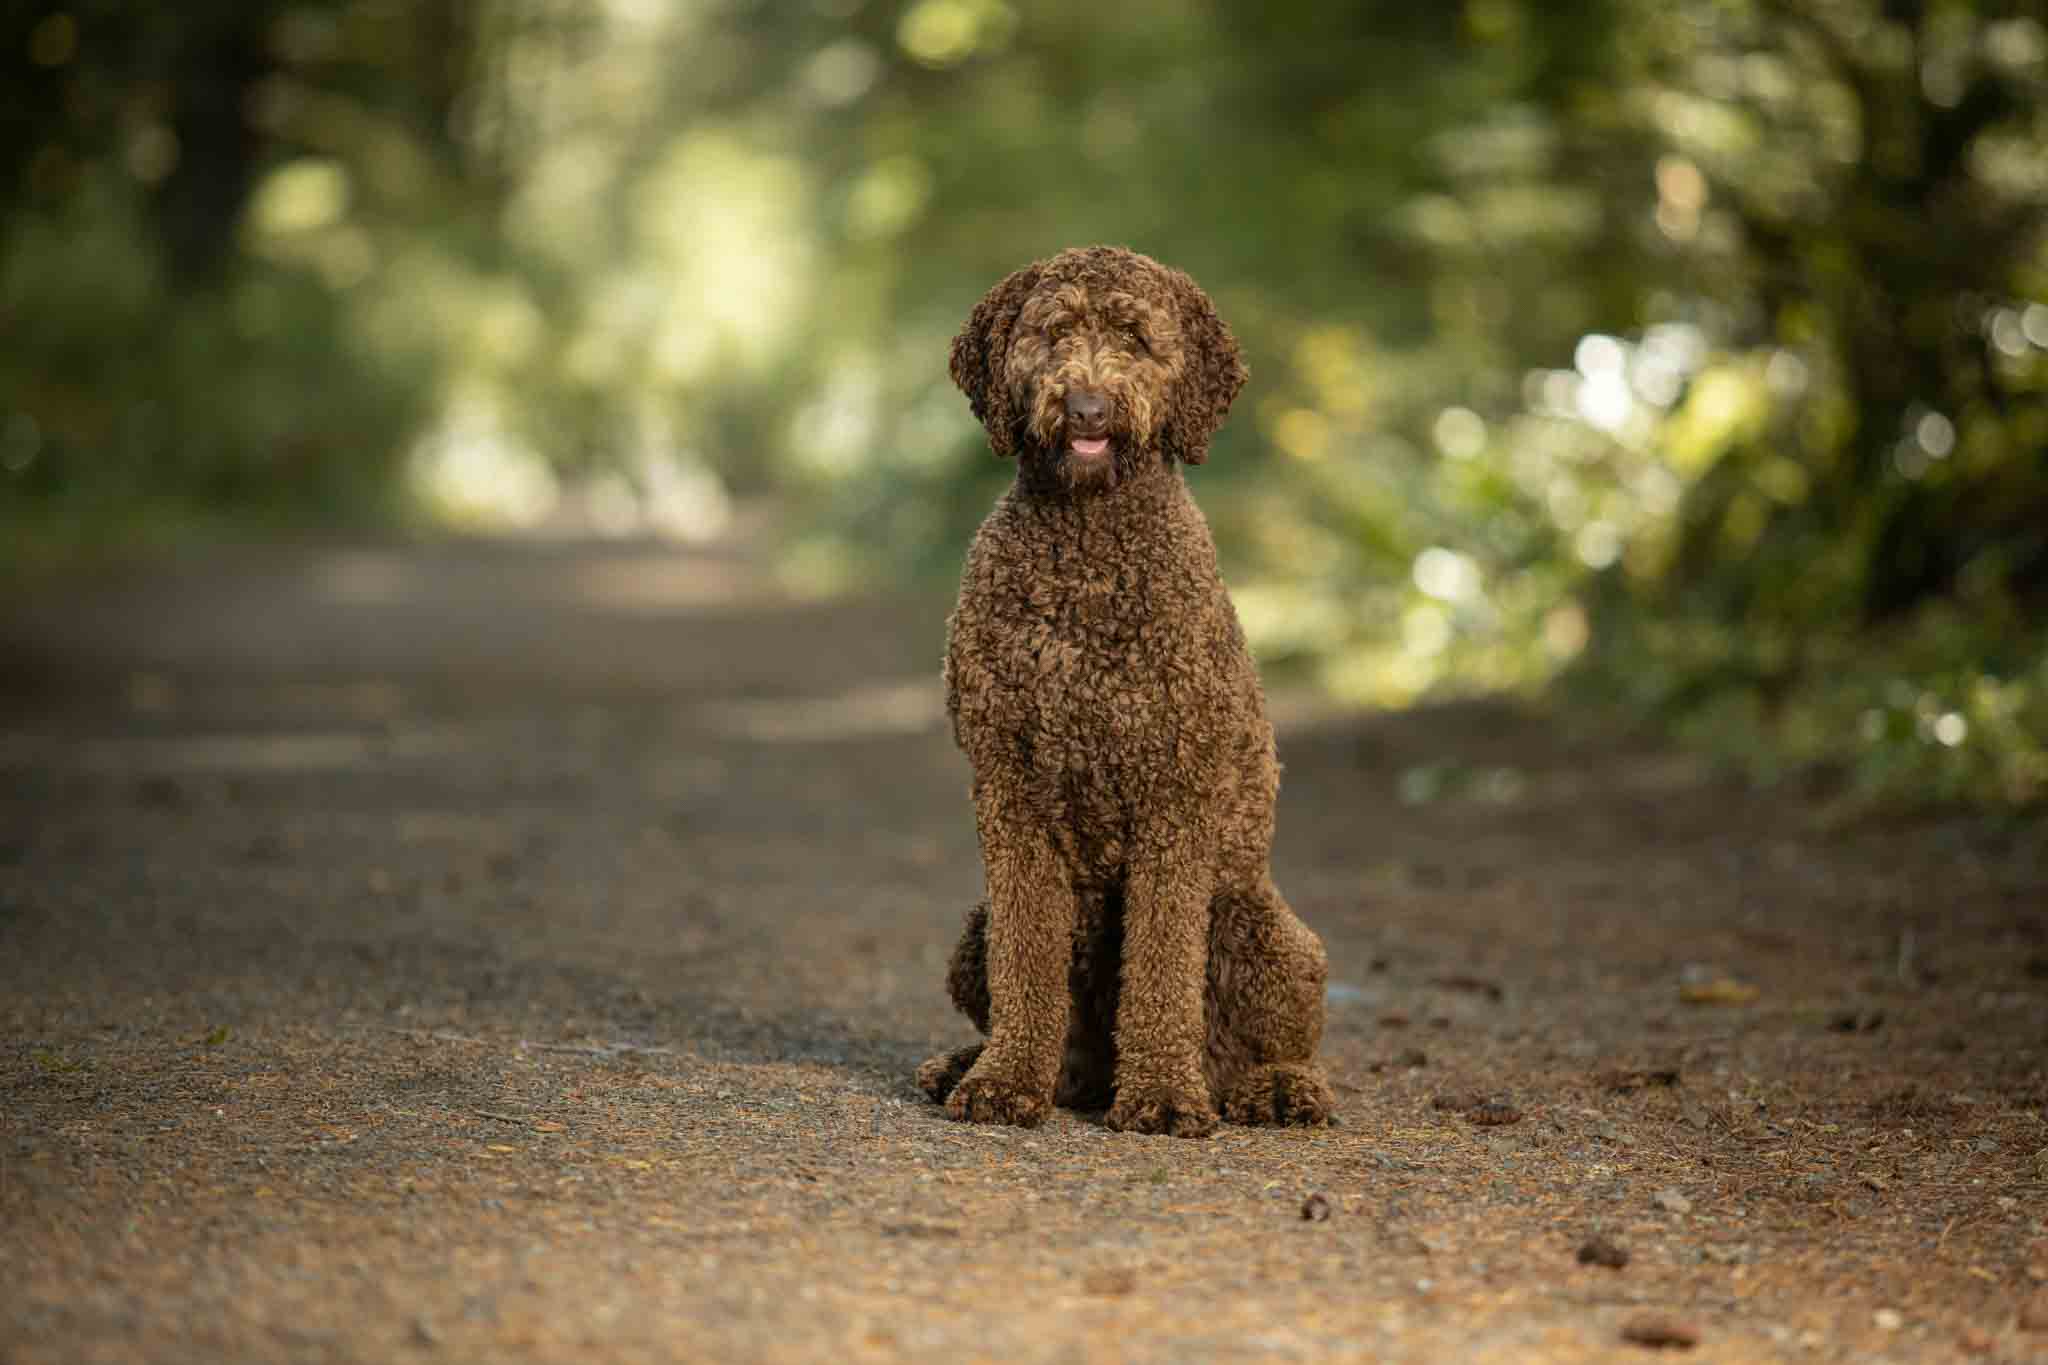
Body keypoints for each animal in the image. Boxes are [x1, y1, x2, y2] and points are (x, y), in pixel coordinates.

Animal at [917, 248, 1335, 1146]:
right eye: (1052, 332)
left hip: (1260, 929)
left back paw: (1274, 1088)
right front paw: (1004, 1081)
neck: (1088, 547)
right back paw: (977, 1065)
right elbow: (1028, 961)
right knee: (1058, 1036)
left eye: (1138, 338)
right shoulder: (1009, 790)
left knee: (1265, 1042)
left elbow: (1162, 965)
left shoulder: (1175, 798)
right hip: (976, 929)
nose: (1087, 404)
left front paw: (1165, 1096)